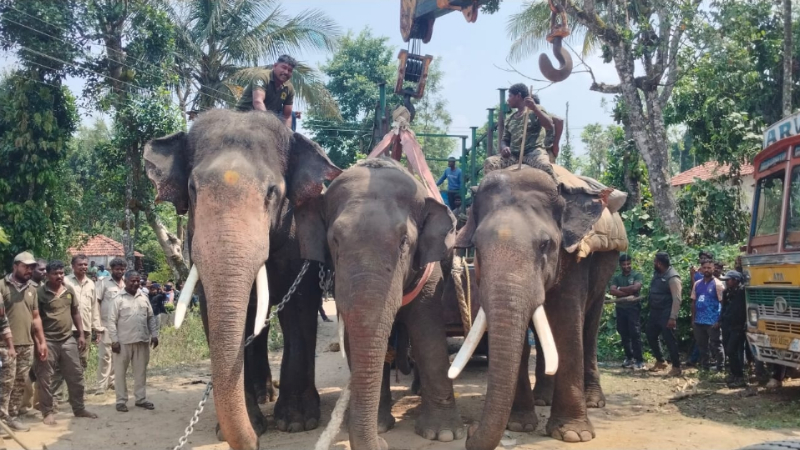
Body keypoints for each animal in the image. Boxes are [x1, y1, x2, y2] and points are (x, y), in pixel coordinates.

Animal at [144, 109, 341, 450]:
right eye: (193, 189)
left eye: (272, 191)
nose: (255, 444)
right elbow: (212, 311)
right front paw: (247, 427)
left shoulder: (300, 236)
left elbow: (299, 308)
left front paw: (297, 423)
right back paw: (264, 394)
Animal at [297, 158, 464, 450]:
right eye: (335, 241)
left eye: (404, 242)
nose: (382, 444)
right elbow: (356, 338)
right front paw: (379, 427)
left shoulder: (430, 274)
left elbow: (428, 336)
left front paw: (443, 434)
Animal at [448, 165, 620, 450]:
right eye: (477, 248)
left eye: (545, 245)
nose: (470, 430)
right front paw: (519, 425)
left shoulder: (572, 255)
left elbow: (566, 321)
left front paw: (573, 435)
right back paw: (543, 398)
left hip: (608, 265)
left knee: (590, 324)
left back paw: (594, 401)